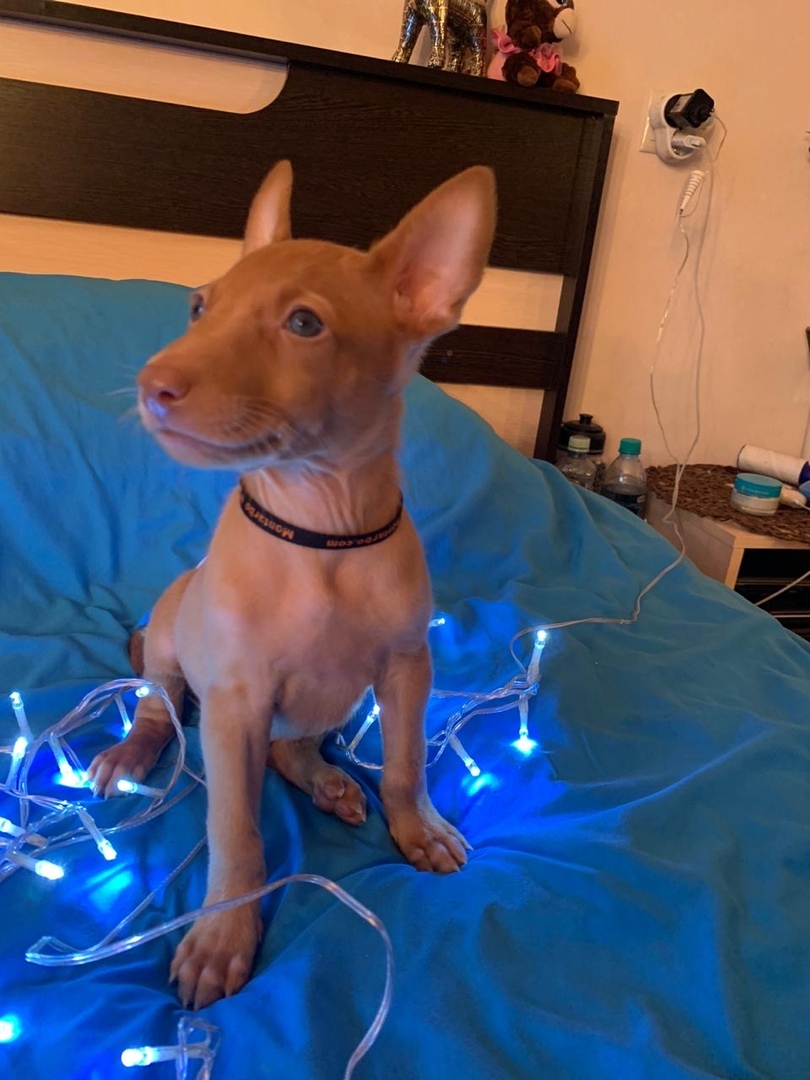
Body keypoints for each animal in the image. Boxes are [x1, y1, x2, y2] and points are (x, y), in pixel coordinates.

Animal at [87, 161, 496, 1010]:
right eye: (198, 307)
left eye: (304, 325)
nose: (150, 386)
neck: (321, 532)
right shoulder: (234, 702)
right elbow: (235, 831)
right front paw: (222, 935)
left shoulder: (407, 668)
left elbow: (406, 765)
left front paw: (419, 828)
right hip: (172, 641)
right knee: (159, 708)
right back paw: (132, 753)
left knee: (289, 748)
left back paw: (329, 782)